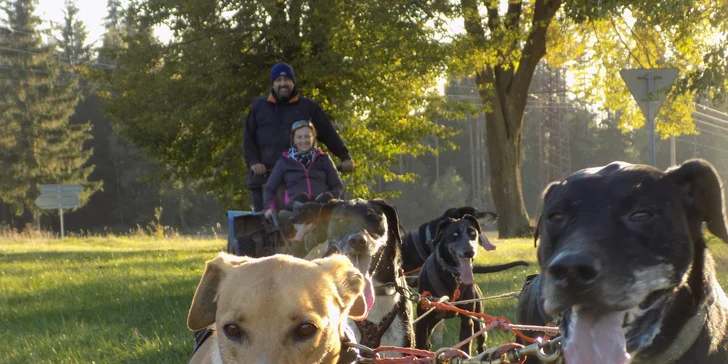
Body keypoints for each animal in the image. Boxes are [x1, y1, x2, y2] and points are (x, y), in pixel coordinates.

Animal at [416, 215, 528, 354]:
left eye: (473, 233)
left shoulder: (467, 320)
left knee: (481, 342)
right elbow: (420, 348)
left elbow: (465, 347)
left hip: (479, 322)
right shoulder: (422, 321)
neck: (452, 276)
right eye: (455, 234)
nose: (469, 251)